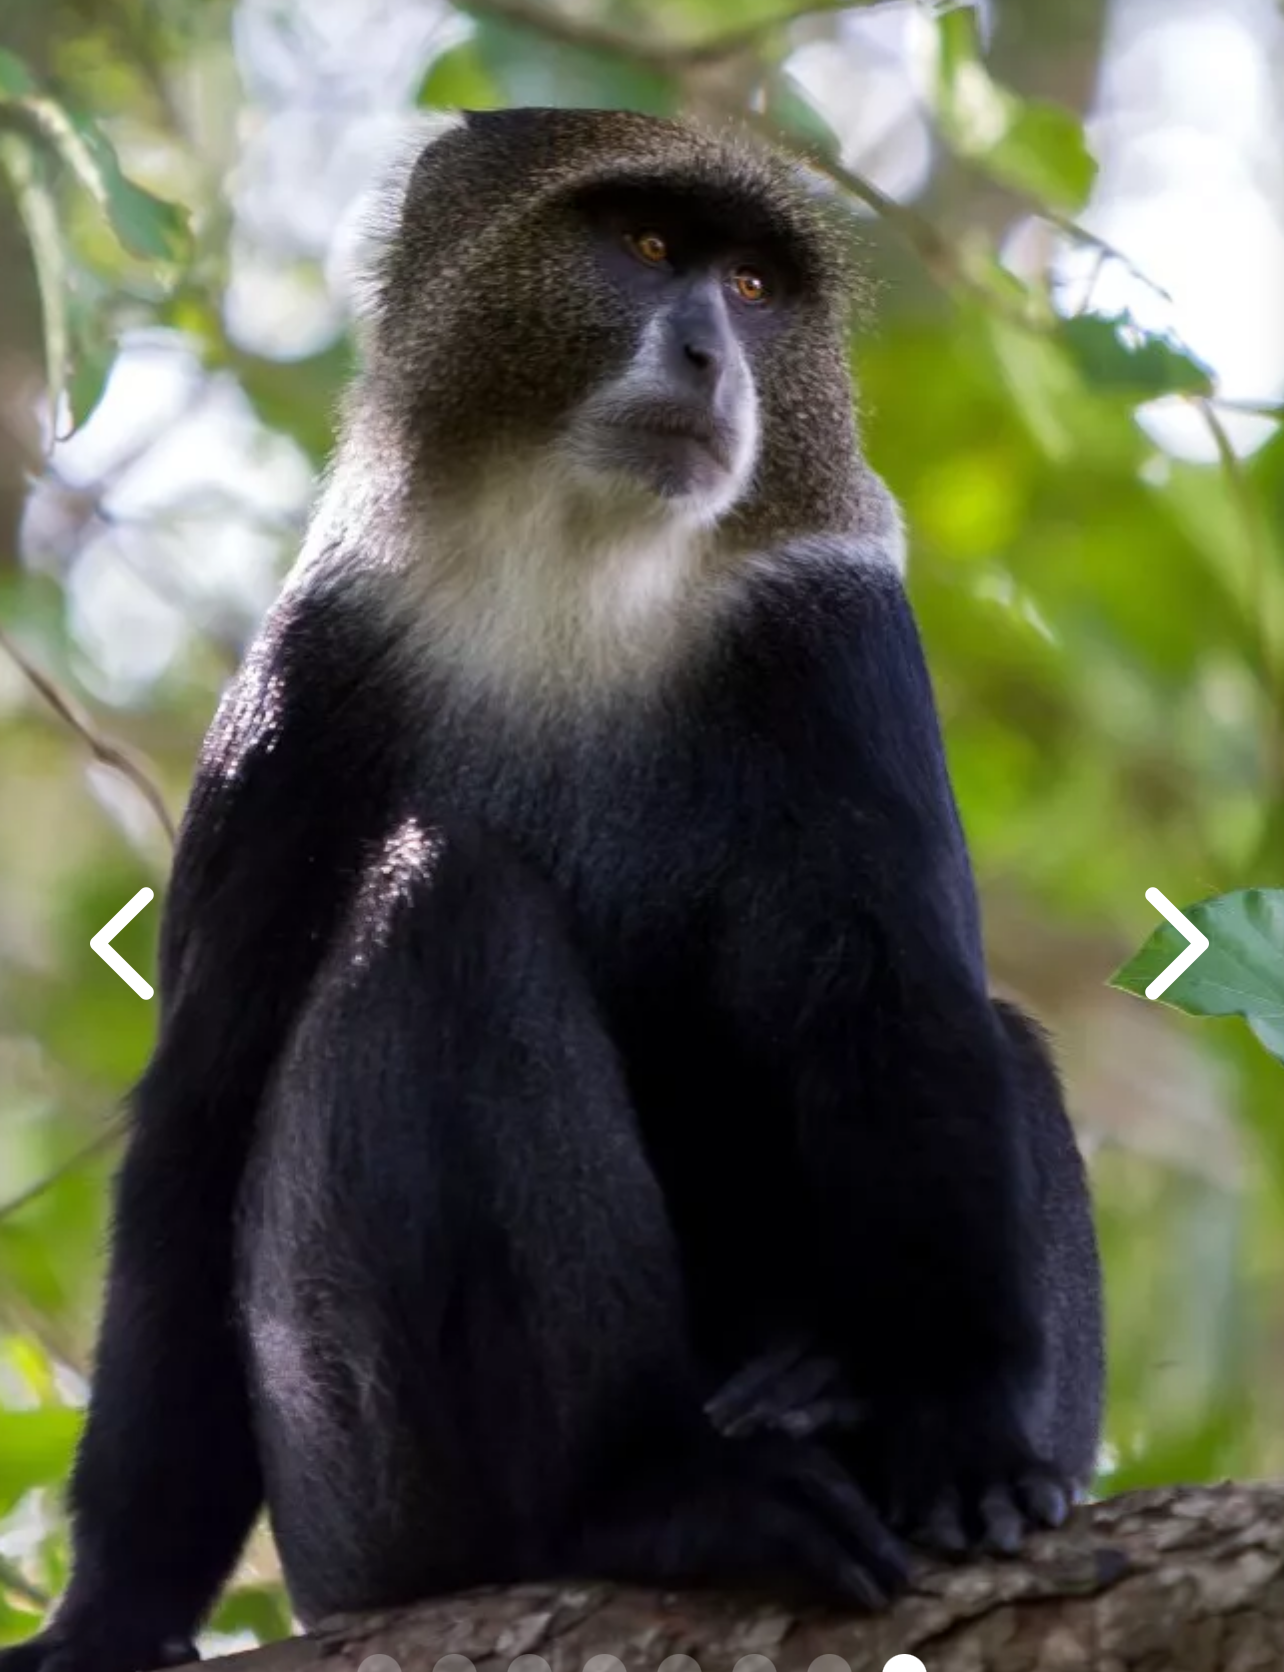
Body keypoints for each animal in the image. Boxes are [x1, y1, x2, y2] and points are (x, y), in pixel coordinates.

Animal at [0, 108, 1102, 1672]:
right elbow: (204, 1105)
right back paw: (648, 1502)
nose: (707, 352)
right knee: (448, 906)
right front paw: (114, 1606)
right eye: (644, 247)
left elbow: (899, 1000)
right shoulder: (307, 674)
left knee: (997, 1040)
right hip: (365, 1493)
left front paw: (963, 1422)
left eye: (754, 288)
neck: (579, 577)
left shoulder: (833, 631)